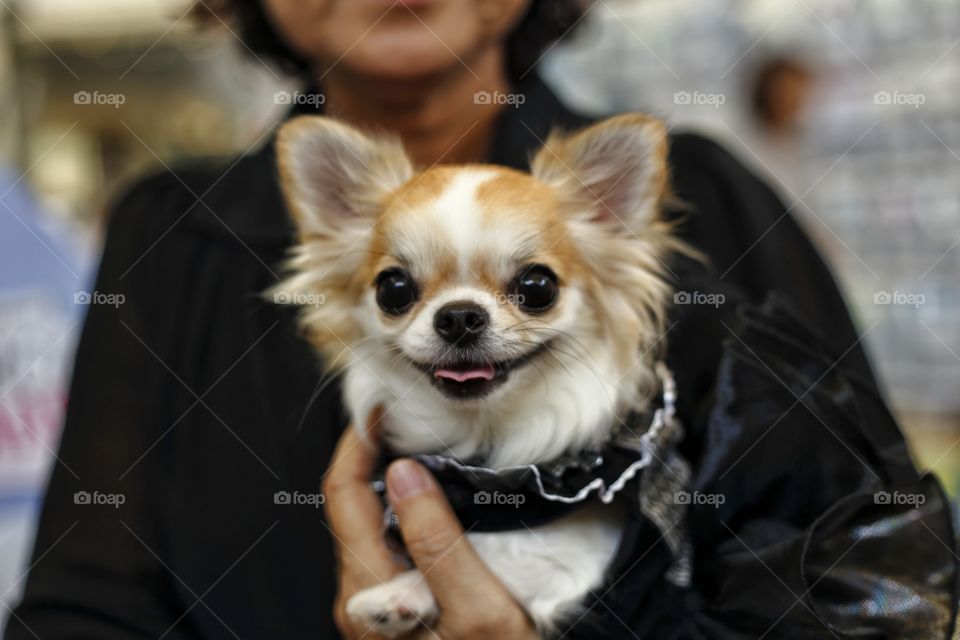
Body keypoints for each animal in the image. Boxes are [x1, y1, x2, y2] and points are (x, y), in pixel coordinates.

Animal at [276, 112, 676, 636]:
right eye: (393, 289)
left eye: (537, 286)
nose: (459, 316)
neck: (480, 445)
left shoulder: (577, 558)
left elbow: (497, 555)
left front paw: (403, 591)